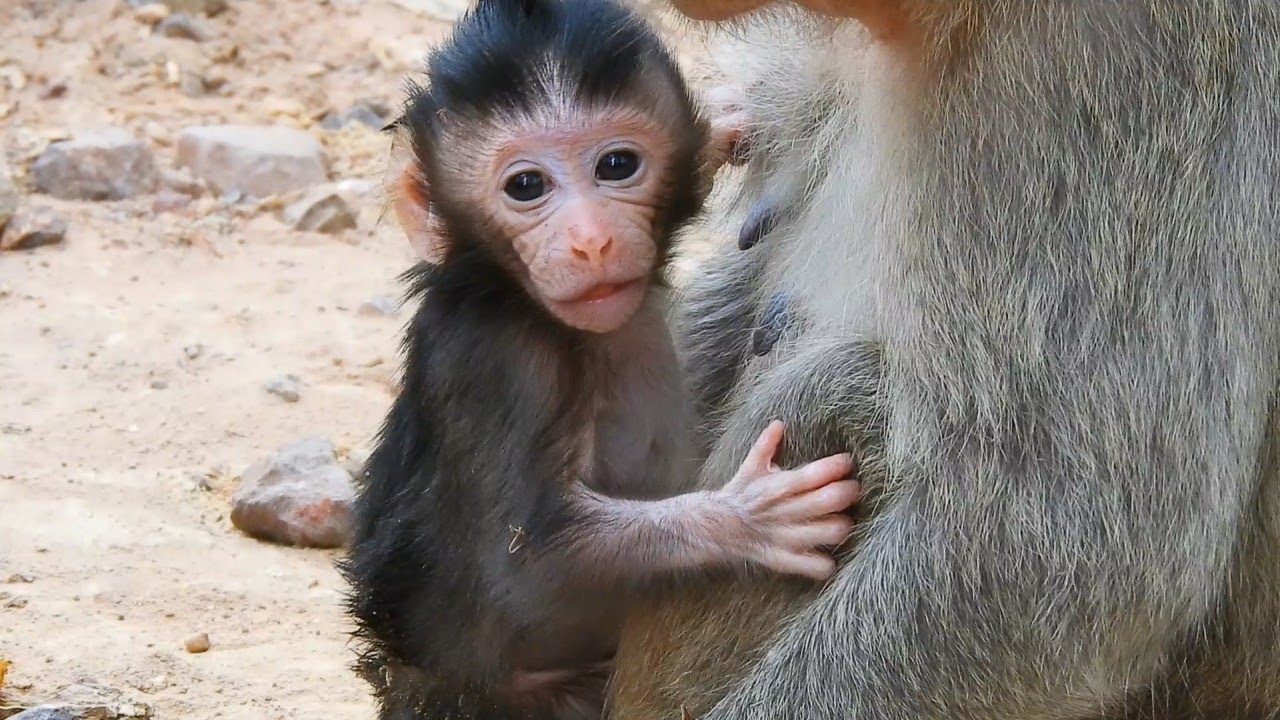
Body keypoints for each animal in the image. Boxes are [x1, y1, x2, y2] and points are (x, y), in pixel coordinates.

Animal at [339, 1, 862, 719]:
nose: (590, 241)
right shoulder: (501, 360)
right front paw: (747, 519)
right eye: (526, 186)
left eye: (617, 165)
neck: (507, 290)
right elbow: (526, 563)